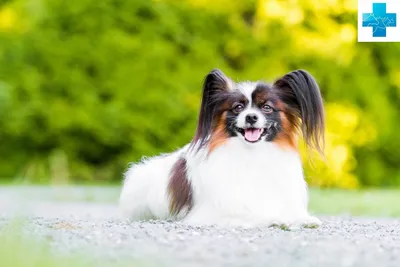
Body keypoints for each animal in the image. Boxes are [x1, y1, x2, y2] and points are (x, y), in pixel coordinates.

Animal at [119, 68, 324, 229]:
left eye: (267, 107)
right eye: (238, 107)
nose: (251, 117)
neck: (252, 153)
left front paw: (303, 219)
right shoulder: (215, 211)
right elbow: (250, 213)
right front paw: (274, 219)